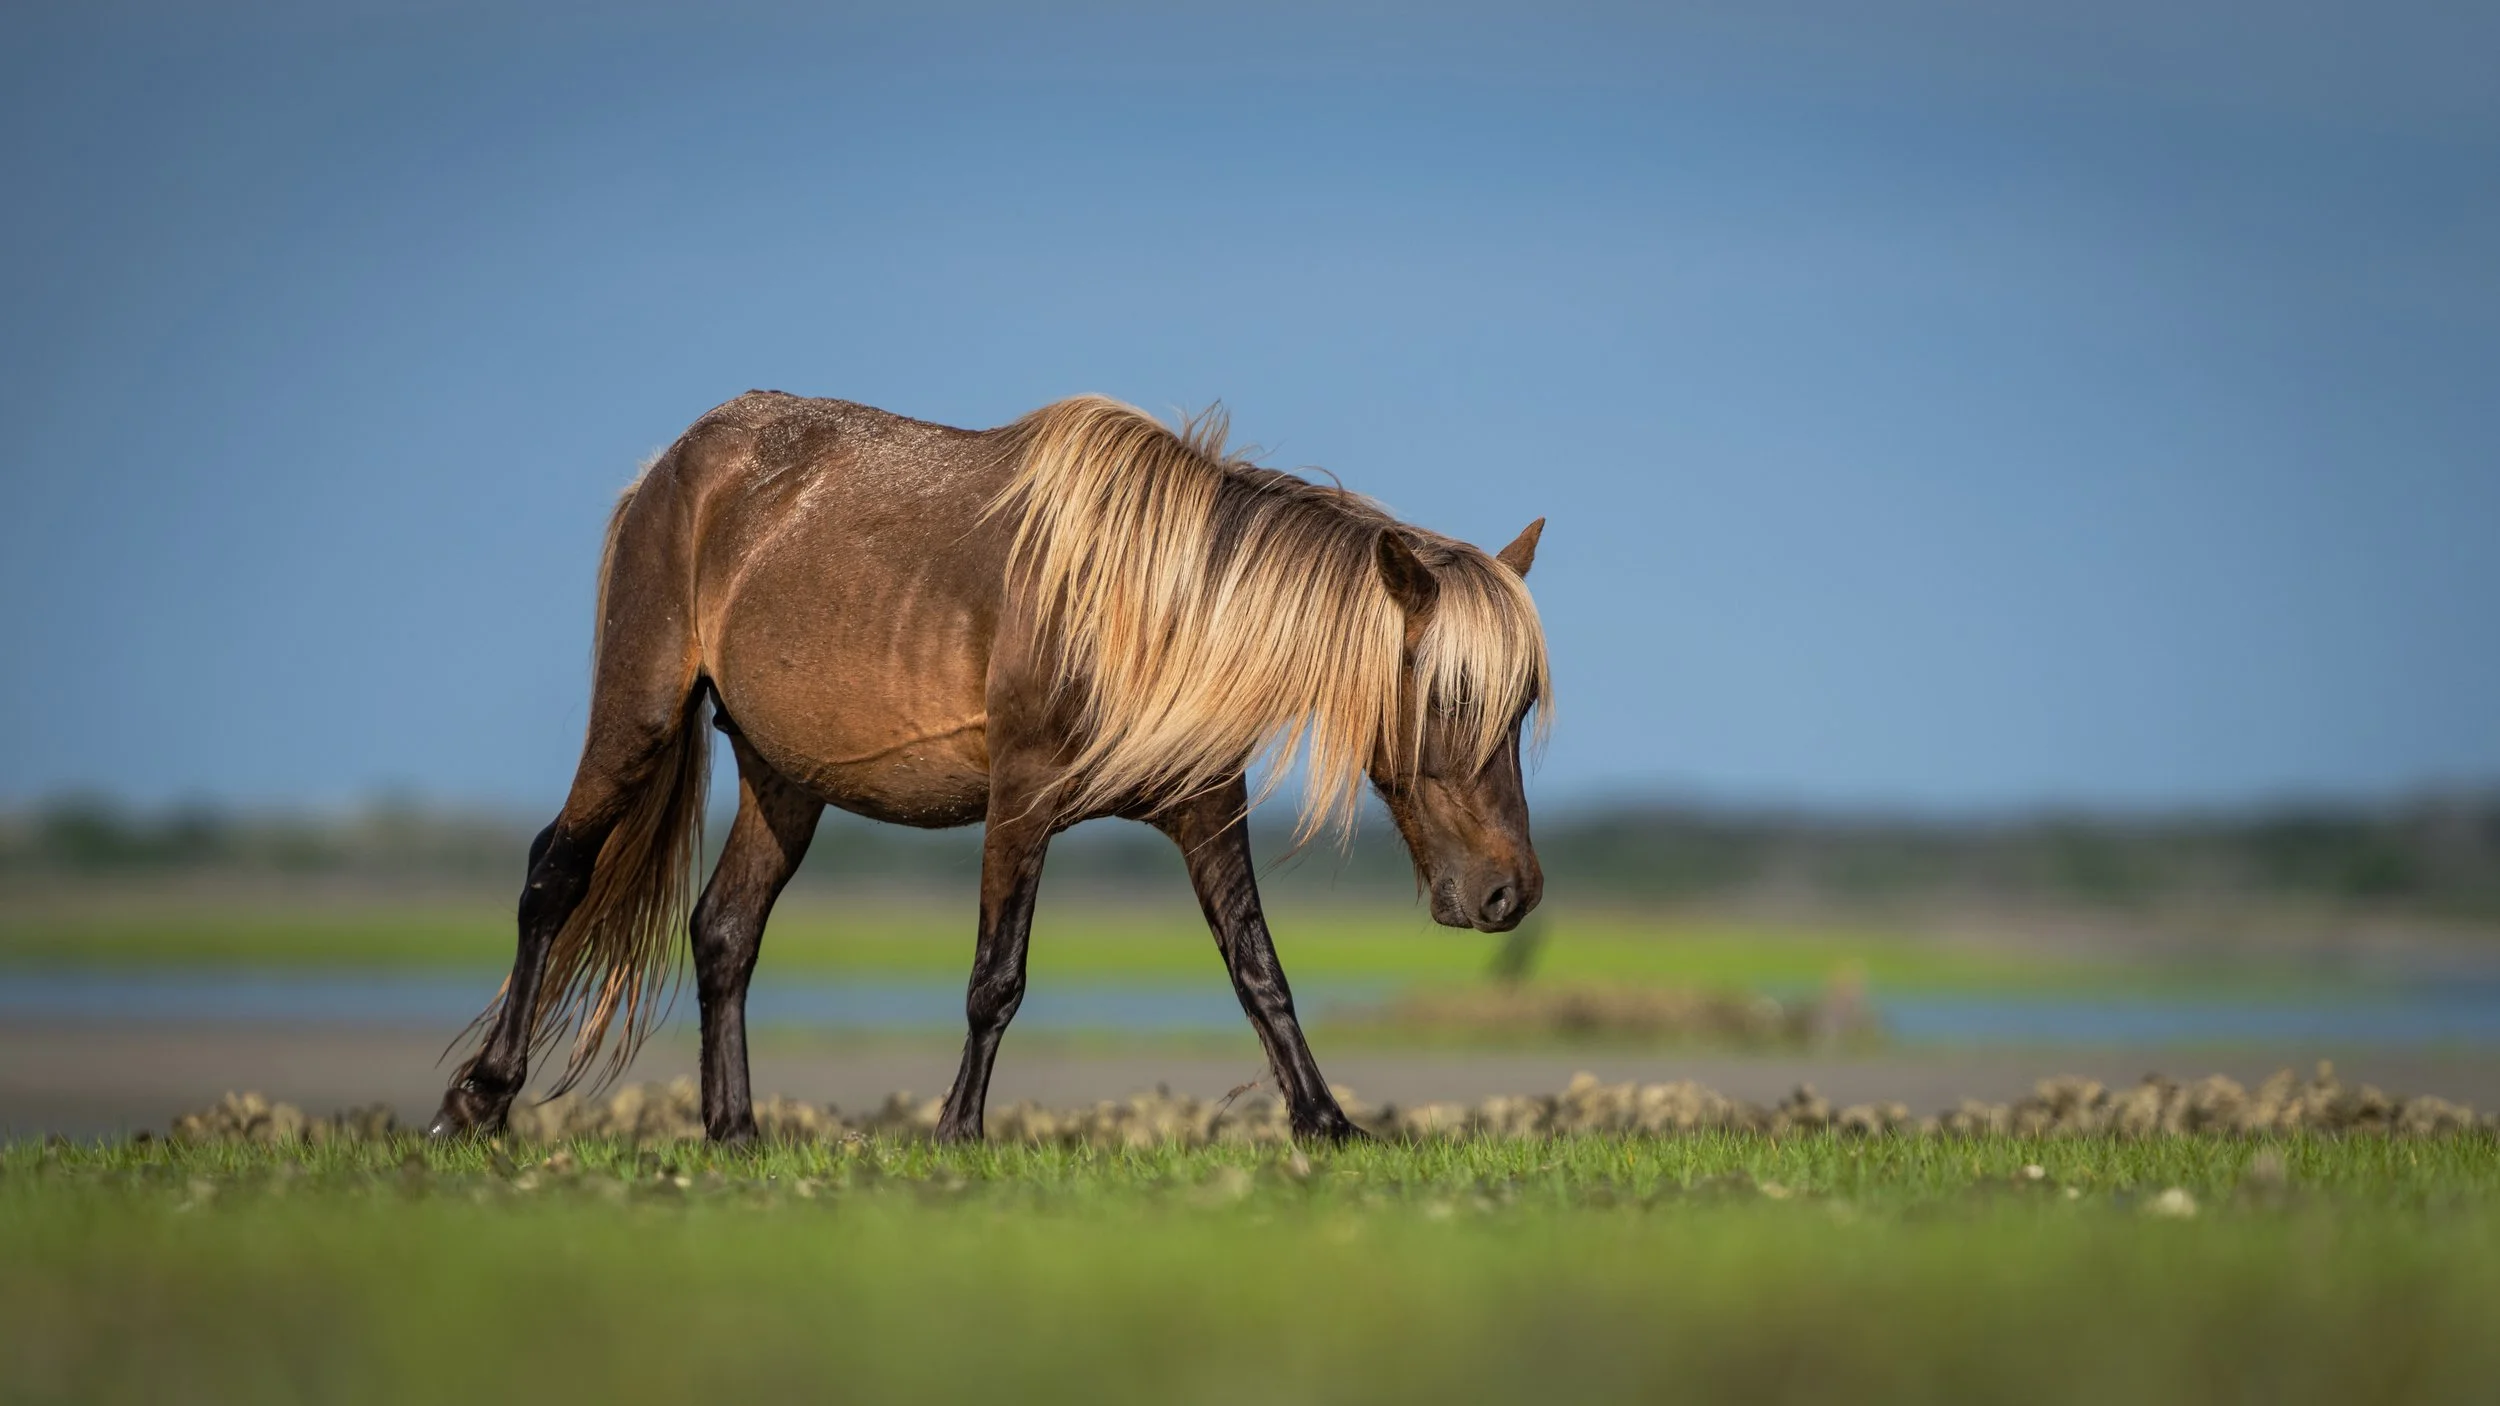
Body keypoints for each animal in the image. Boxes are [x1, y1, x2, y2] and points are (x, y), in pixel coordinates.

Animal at [428, 392, 1550, 1144]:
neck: (1141, 604)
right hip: (639, 713)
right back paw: (479, 1097)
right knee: (554, 877)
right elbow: (995, 978)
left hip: (783, 780)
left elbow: (1259, 971)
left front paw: (1325, 1121)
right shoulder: (1022, 799)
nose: (1510, 894)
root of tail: (675, 464)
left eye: (1521, 707)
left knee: (724, 931)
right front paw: (957, 1130)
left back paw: (734, 1130)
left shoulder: (1204, 808)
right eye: (1450, 700)